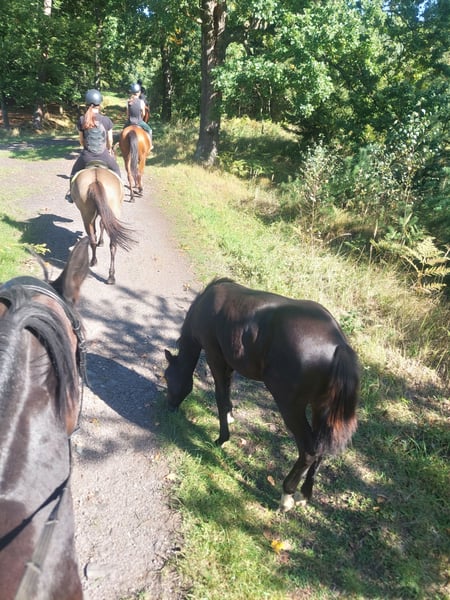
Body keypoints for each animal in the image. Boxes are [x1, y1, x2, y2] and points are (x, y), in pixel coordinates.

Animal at [164, 278, 360, 512]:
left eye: (167, 377)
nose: (169, 406)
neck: (205, 304)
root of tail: (338, 345)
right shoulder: (230, 363)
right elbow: (227, 392)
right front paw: (230, 416)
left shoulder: (214, 356)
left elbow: (220, 396)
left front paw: (221, 438)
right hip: (320, 408)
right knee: (320, 448)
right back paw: (304, 494)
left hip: (290, 407)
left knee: (309, 451)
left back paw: (287, 495)